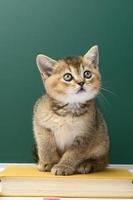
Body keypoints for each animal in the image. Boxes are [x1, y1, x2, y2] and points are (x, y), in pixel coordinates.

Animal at [32, 45, 109, 175]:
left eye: (87, 74)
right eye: (67, 76)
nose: (81, 82)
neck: (68, 111)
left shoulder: (86, 133)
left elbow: (74, 153)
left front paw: (63, 166)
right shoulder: (41, 124)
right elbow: (46, 145)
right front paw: (49, 162)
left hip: (102, 141)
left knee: (103, 161)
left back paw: (88, 164)